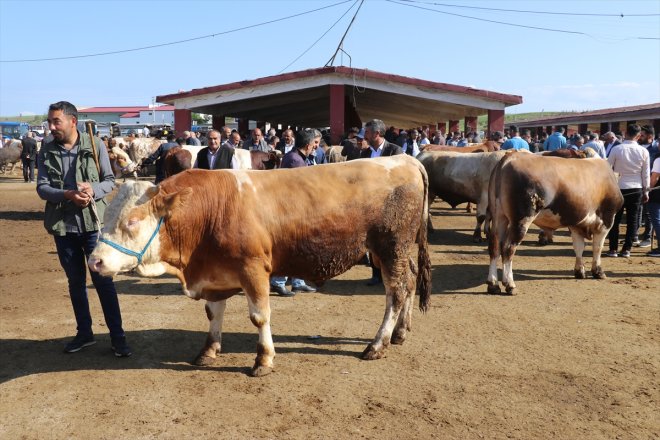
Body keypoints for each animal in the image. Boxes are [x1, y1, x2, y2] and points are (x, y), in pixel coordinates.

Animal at [87, 154, 434, 374]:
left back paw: (378, 344)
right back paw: (401, 332)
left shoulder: (253, 269)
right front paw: (208, 350)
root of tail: (405, 158)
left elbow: (259, 316)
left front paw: (263, 360)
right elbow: (213, 313)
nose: (94, 260)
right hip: (396, 251)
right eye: (105, 216)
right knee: (411, 281)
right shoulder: (215, 272)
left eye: (132, 221)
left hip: (390, 248)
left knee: (396, 293)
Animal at [484, 152, 624, 296]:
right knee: (508, 248)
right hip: (521, 220)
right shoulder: (606, 220)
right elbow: (597, 247)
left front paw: (579, 271)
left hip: (499, 216)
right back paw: (510, 284)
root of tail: (510, 157)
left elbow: (579, 247)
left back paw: (493, 285)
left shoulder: (576, 223)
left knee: (494, 247)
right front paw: (598, 271)